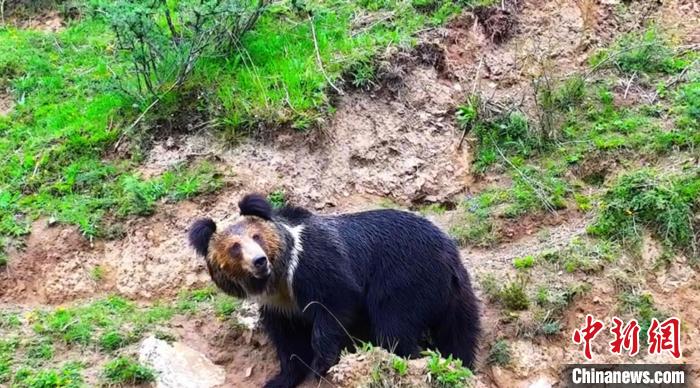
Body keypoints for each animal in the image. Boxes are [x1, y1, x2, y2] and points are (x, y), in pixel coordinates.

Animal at [187, 192, 482, 386]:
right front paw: (280, 378)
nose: (259, 261)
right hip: (455, 295)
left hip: (405, 278)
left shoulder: (317, 266)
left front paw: (322, 364)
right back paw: (461, 364)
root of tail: (450, 255)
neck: (281, 276)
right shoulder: (279, 305)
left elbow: (336, 304)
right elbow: (287, 340)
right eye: (234, 248)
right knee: (460, 334)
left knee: (395, 325)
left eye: (256, 236)